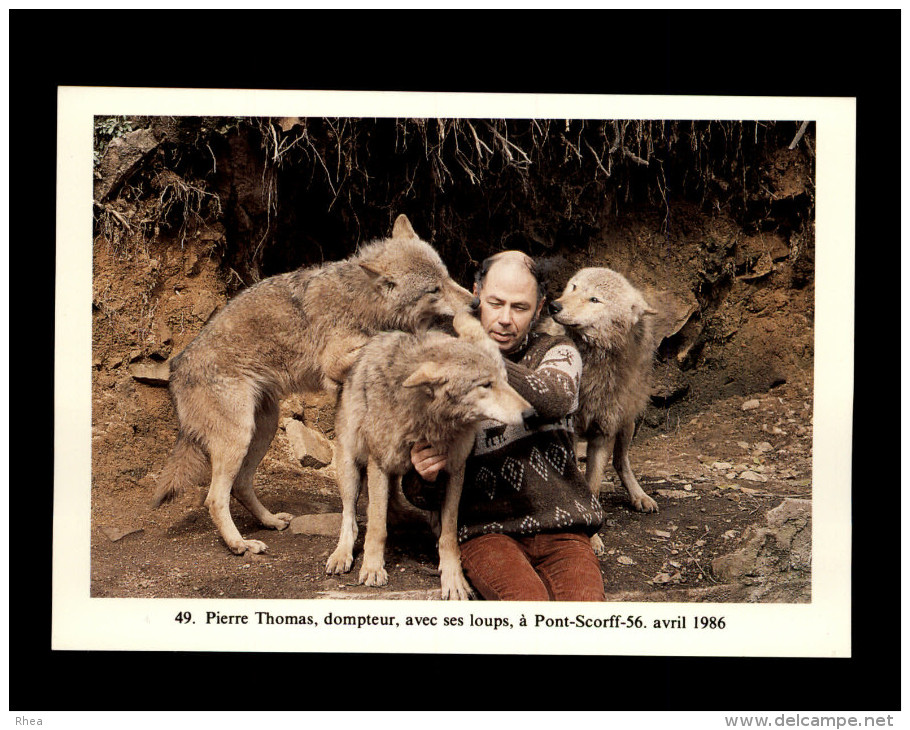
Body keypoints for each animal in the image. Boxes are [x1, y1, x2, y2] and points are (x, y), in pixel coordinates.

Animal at [151, 213, 470, 556]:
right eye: (434, 289)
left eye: (448, 278)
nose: (476, 302)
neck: (363, 302)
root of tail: (176, 368)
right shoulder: (334, 362)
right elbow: (380, 342)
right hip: (239, 437)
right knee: (214, 499)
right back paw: (240, 544)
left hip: (262, 429)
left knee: (240, 486)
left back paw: (270, 521)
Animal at [326, 308, 536, 596]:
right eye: (485, 385)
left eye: (506, 381)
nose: (530, 413)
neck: (429, 419)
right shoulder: (379, 463)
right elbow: (376, 527)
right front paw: (372, 568)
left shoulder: (454, 470)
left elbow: (449, 533)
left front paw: (453, 577)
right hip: (351, 466)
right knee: (350, 516)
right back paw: (342, 554)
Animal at [548, 266, 664, 540]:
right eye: (574, 287)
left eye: (595, 300)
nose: (554, 306)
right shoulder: (569, 434)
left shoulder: (603, 433)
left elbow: (592, 488)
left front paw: (592, 537)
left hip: (627, 424)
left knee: (621, 462)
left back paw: (639, 496)